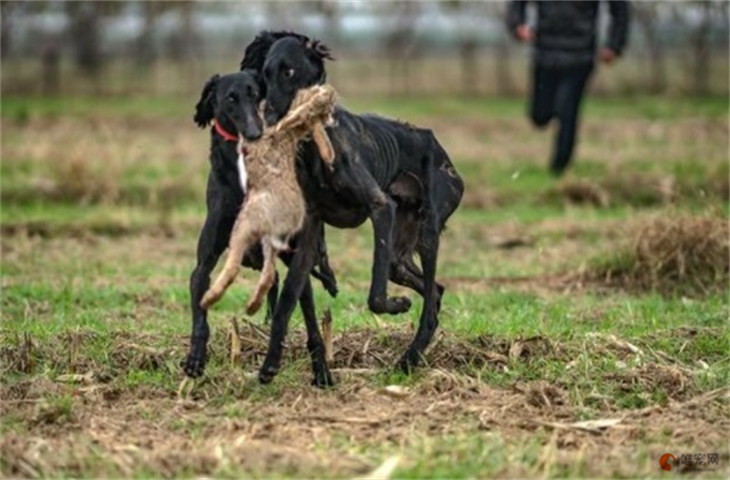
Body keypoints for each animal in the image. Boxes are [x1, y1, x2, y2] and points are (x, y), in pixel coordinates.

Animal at [181, 69, 336, 384]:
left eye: (256, 94)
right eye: (230, 98)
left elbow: (287, 314)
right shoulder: (202, 266)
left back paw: (320, 371)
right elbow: (201, 314)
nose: (255, 133)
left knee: (310, 323)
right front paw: (195, 359)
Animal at [242, 31, 464, 384]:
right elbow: (287, 302)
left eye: (289, 71)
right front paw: (271, 364)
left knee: (429, 303)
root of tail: (439, 147)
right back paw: (412, 355)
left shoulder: (380, 208)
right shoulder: (309, 235)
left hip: (428, 231)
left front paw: (397, 305)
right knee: (436, 291)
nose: (270, 117)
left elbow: (375, 297)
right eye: (265, 73)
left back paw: (408, 359)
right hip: (399, 255)